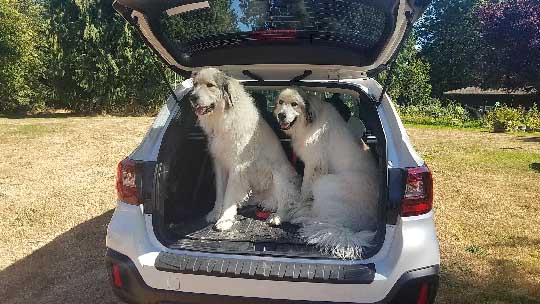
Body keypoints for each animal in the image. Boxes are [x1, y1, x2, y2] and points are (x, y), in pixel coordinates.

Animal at [189, 68, 300, 230]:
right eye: (195, 85)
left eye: (210, 85)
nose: (192, 97)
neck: (224, 116)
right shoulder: (220, 164)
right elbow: (220, 192)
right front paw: (215, 213)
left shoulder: (237, 167)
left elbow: (229, 195)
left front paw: (225, 219)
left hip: (280, 174)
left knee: (288, 203)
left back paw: (277, 216)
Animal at [274, 87, 380, 258]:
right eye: (280, 102)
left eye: (294, 104)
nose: (281, 115)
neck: (309, 122)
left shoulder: (314, 164)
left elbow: (304, 190)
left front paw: (299, 204)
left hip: (326, 183)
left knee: (318, 217)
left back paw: (294, 216)